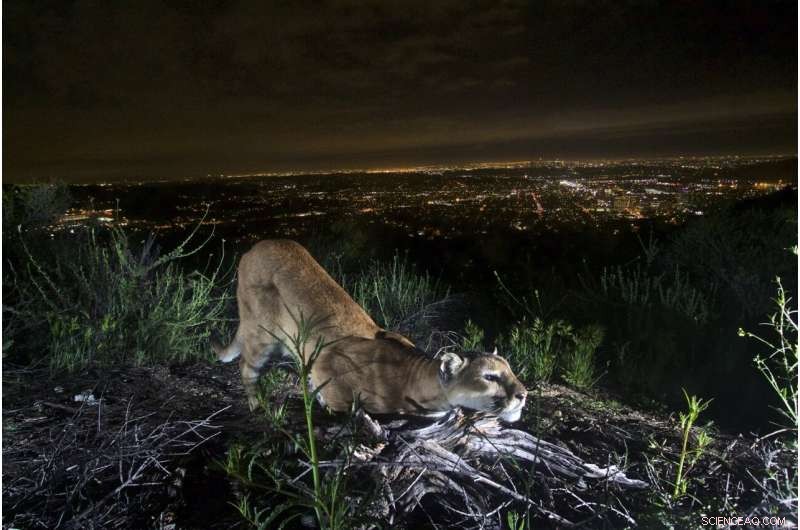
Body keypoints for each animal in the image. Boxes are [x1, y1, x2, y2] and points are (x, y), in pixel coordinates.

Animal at [211, 239, 527, 421]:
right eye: (489, 377)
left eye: (511, 372)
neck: (414, 378)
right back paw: (258, 406)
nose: (523, 394)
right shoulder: (329, 366)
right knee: (246, 367)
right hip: (261, 334)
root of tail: (255, 247)